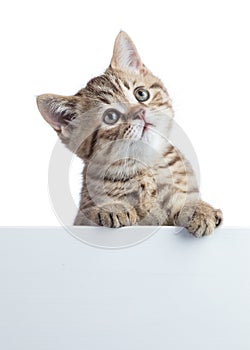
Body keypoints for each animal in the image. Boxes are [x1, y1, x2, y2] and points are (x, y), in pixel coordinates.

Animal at [37, 31, 223, 237]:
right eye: (110, 117)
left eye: (141, 94)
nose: (140, 112)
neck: (145, 167)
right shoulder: (81, 218)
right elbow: (93, 211)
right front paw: (113, 207)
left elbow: (183, 201)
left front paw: (200, 209)